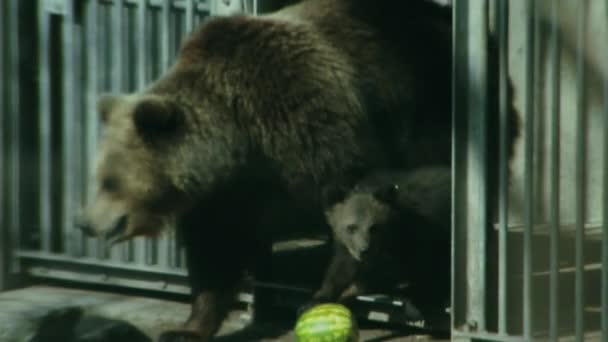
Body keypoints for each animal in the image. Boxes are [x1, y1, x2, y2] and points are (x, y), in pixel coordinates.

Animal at [76, 0, 512, 340]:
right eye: (97, 177)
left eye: (110, 181)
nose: (85, 222)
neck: (239, 142)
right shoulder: (220, 199)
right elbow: (214, 255)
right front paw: (188, 326)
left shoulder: (317, 134)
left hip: (426, 101)